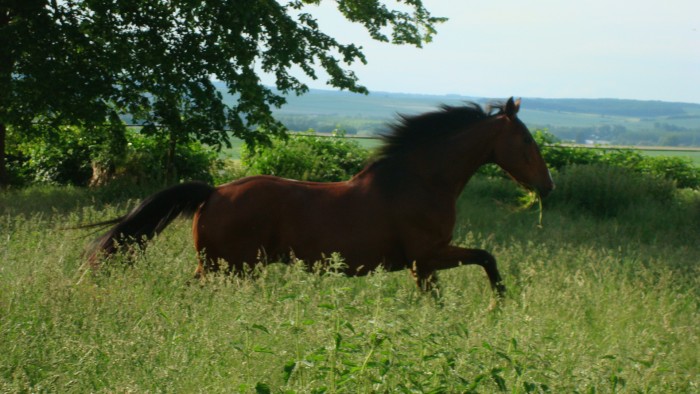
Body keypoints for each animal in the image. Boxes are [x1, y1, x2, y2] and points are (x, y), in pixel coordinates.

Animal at [86, 97, 552, 298]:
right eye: (527, 141)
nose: (547, 186)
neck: (418, 182)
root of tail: (214, 191)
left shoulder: (424, 263)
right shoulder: (427, 256)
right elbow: (486, 259)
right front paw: (500, 305)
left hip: (225, 267)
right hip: (228, 267)